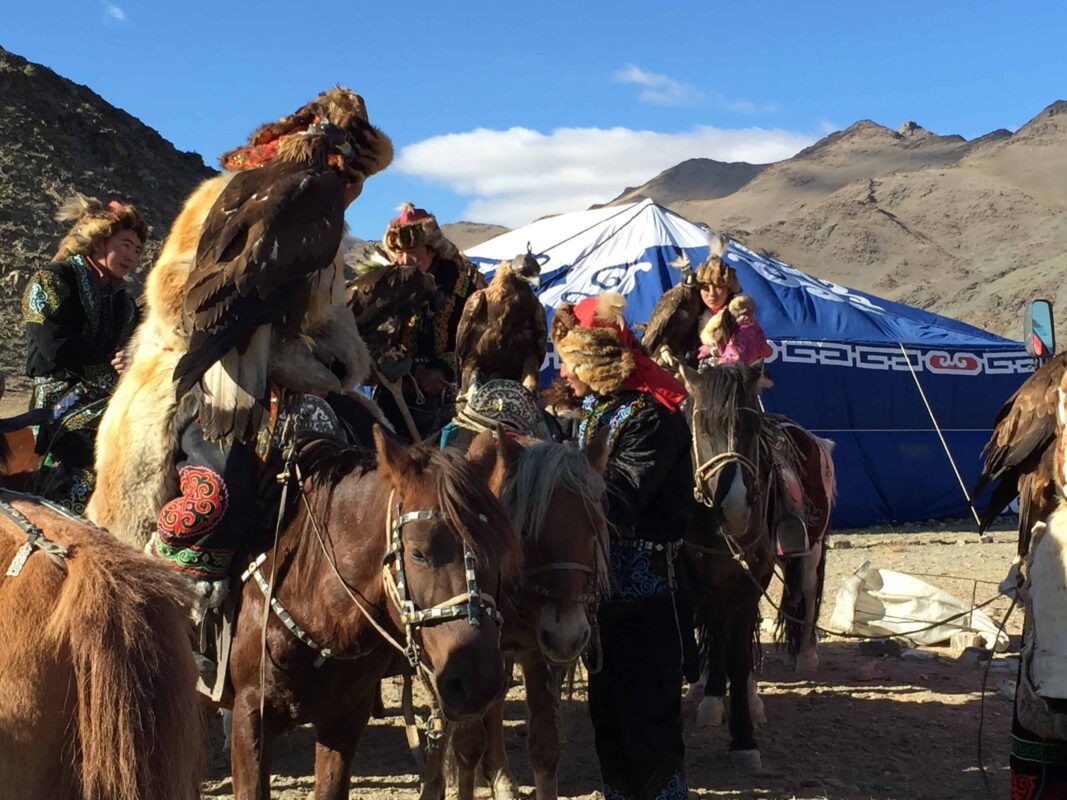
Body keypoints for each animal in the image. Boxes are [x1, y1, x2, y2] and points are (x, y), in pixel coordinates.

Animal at [424, 433, 610, 800]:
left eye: (595, 527)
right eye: (526, 532)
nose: (567, 634)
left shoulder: (534, 651)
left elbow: (544, 746)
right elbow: (467, 745)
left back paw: (502, 779)